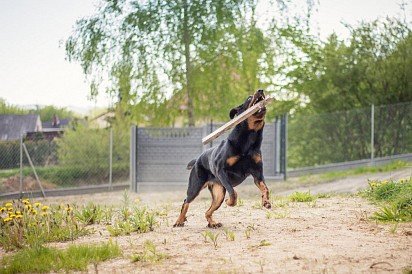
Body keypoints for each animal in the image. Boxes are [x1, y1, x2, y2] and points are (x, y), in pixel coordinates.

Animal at [173, 89, 272, 228]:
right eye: (249, 98)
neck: (249, 139)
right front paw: (230, 202)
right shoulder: (221, 171)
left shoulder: (258, 174)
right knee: (186, 201)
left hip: (218, 192)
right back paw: (179, 220)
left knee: (207, 211)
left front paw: (266, 201)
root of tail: (197, 159)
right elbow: (233, 193)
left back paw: (213, 223)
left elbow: (265, 188)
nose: (261, 90)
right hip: (195, 186)